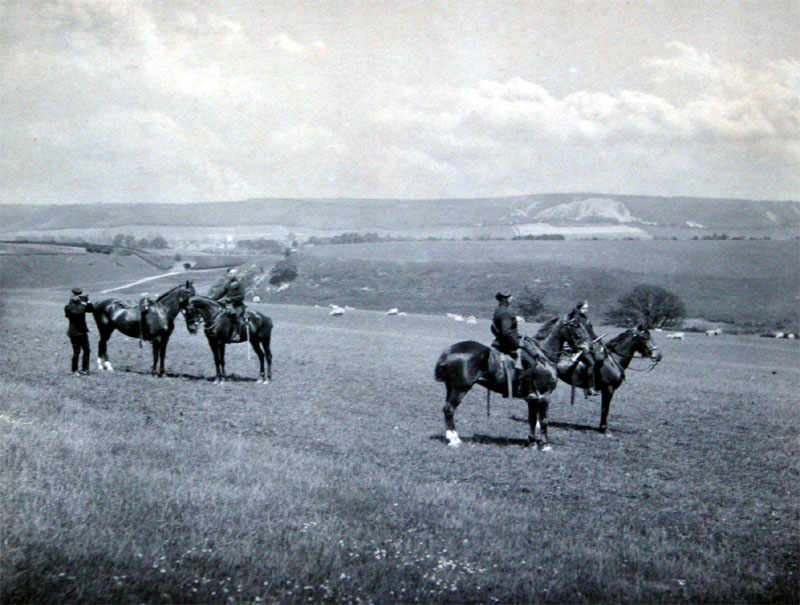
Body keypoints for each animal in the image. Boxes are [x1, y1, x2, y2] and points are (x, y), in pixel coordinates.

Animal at [434, 316, 592, 448]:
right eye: (576, 326)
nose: (587, 347)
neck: (543, 358)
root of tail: (449, 351)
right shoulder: (545, 396)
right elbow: (544, 420)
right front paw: (545, 445)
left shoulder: (533, 399)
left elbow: (532, 419)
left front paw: (532, 442)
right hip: (460, 389)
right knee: (449, 409)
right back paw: (454, 439)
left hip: (451, 388)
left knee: (447, 410)